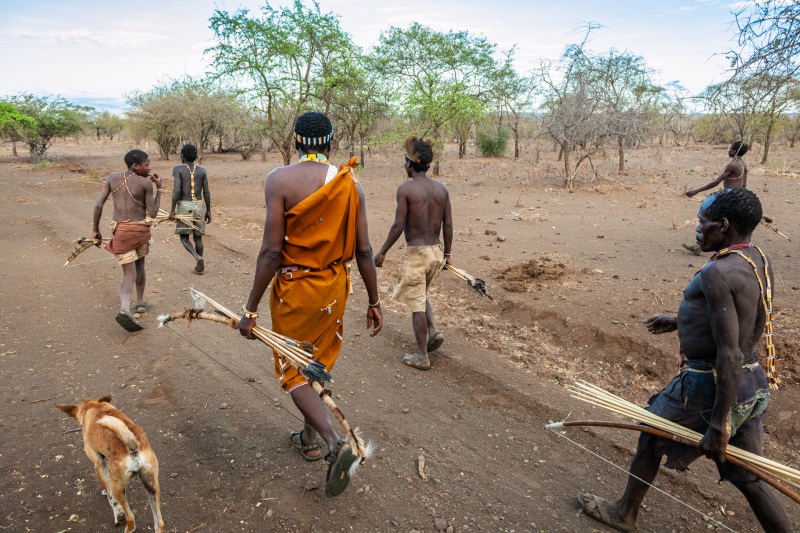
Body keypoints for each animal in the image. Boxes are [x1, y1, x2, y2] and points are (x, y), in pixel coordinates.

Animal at [55, 394, 162, 532]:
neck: (93, 406)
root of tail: (133, 446)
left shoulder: (98, 464)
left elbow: (110, 496)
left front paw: (117, 512)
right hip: (152, 487)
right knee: (160, 523)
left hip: (116, 484)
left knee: (130, 516)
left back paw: (128, 526)